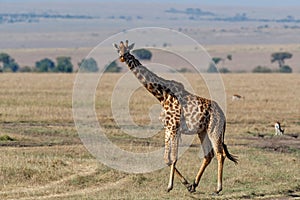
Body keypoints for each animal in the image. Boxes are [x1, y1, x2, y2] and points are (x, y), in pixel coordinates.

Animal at [113, 40, 238, 194]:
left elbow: (173, 158)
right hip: (202, 131)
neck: (162, 96)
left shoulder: (174, 128)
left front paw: (170, 186)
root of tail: (223, 114)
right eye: (118, 50)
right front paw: (185, 183)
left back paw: (218, 188)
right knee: (209, 155)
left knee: (220, 154)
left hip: (214, 129)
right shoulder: (167, 128)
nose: (122, 58)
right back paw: (194, 185)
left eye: (128, 51)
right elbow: (166, 159)